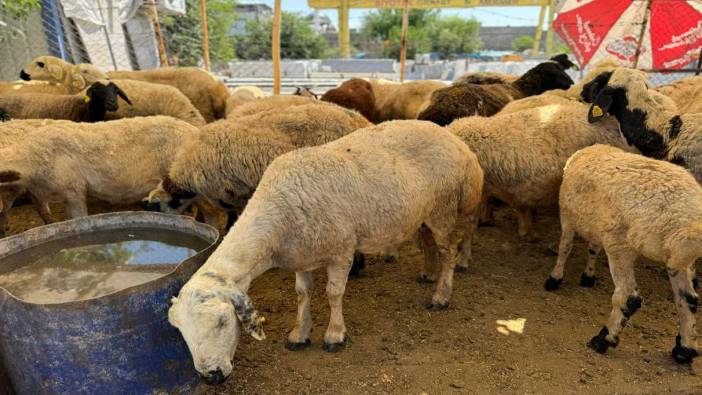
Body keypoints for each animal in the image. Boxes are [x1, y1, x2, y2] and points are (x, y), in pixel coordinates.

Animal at [167, 121, 484, 386]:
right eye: (179, 330)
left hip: (444, 205)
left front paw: (334, 335)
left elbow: (333, 294)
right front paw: (299, 334)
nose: (211, 376)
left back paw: (441, 295)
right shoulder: (302, 256)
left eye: (222, 322)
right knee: (429, 242)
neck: (277, 217)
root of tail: (456, 141)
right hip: (423, 211)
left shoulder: (341, 251)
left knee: (448, 252)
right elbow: (302, 294)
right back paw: (428, 274)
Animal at [552, 144, 702, 364]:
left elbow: (565, 247)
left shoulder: (567, 215)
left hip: (620, 244)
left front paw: (555, 278)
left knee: (628, 296)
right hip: (676, 258)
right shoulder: (597, 226)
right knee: (687, 299)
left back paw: (603, 339)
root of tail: (686, 216)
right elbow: (592, 249)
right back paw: (685, 349)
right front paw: (588, 276)